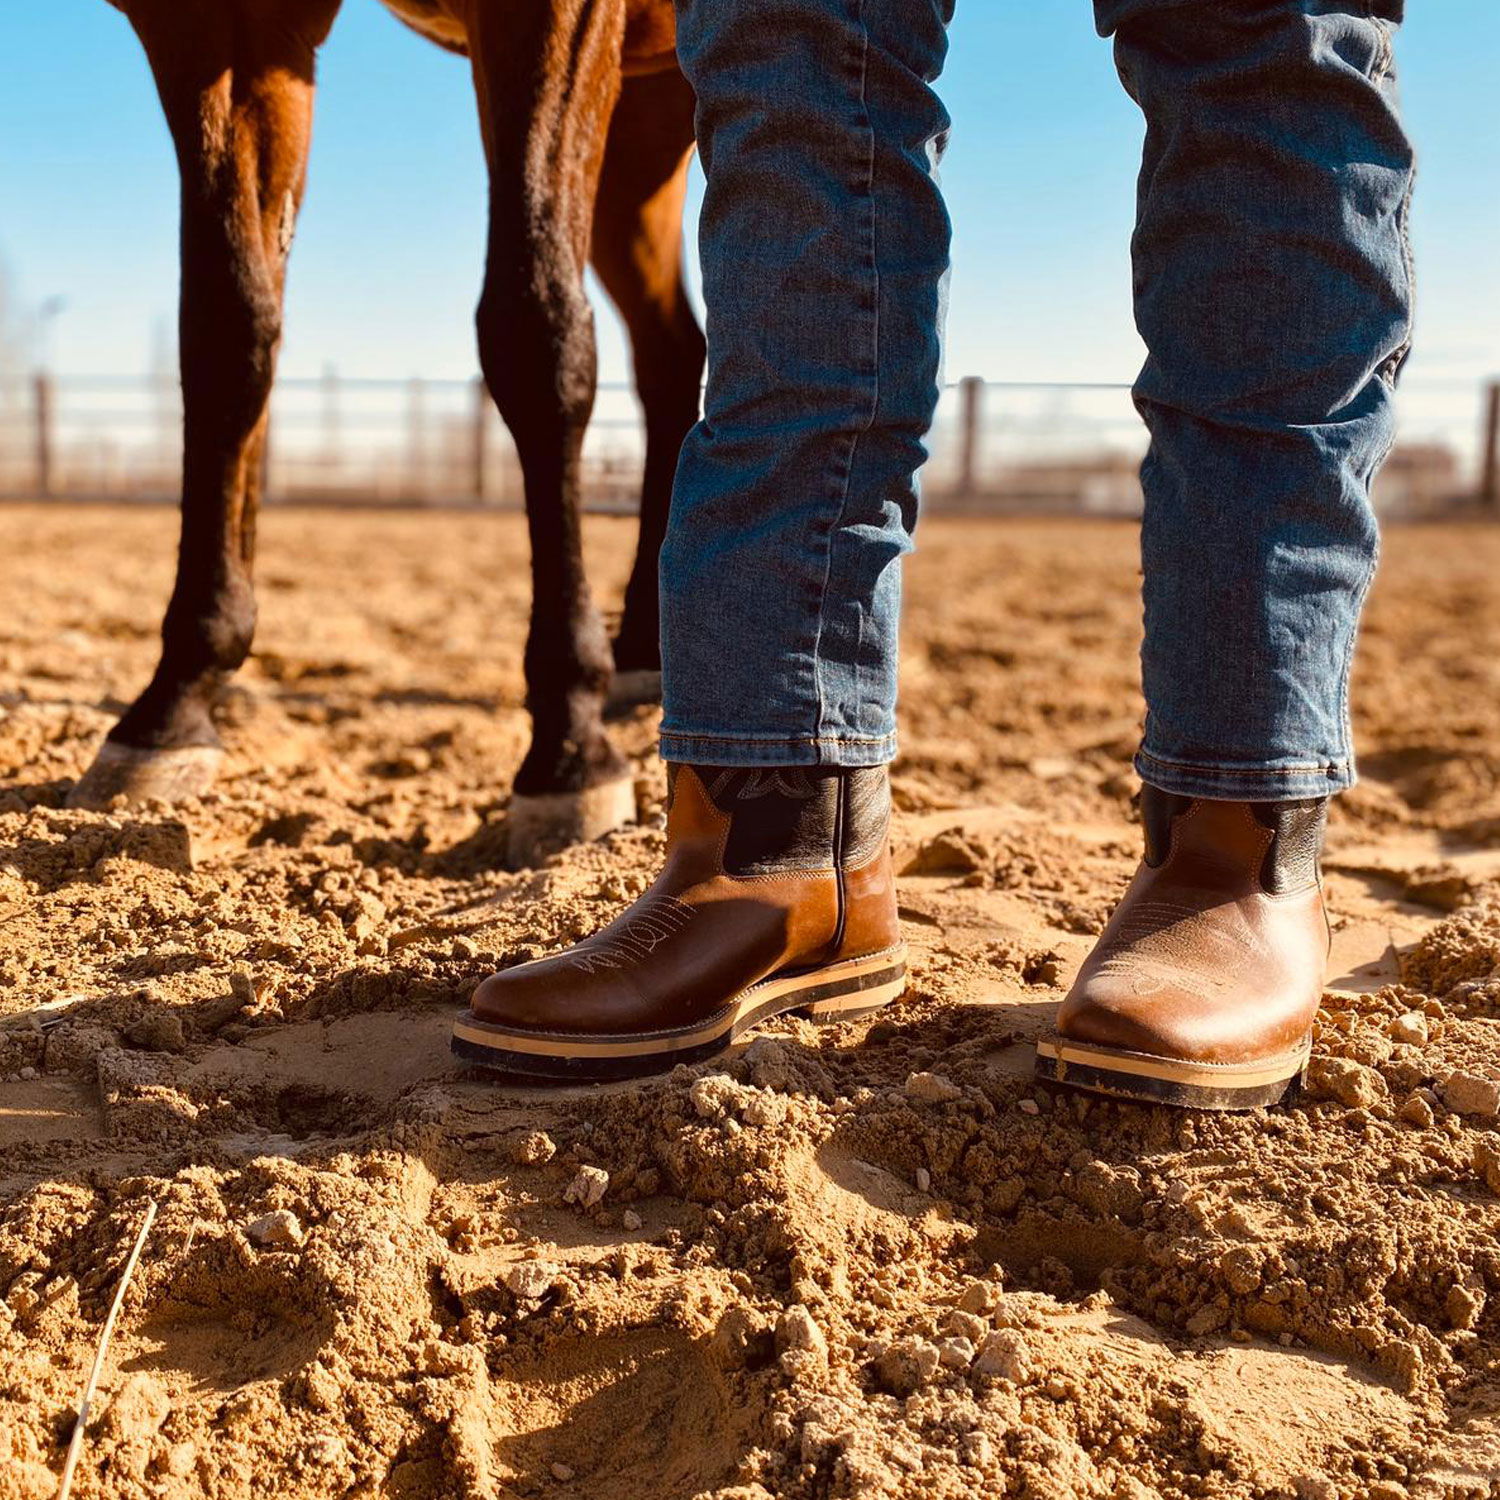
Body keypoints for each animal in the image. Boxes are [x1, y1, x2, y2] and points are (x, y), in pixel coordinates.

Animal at [82, 0, 708, 864]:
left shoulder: (556, 17)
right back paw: (646, 648)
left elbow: (535, 329)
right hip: (647, 118)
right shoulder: (222, 31)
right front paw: (174, 704)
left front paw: (568, 750)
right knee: (672, 359)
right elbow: (226, 332)